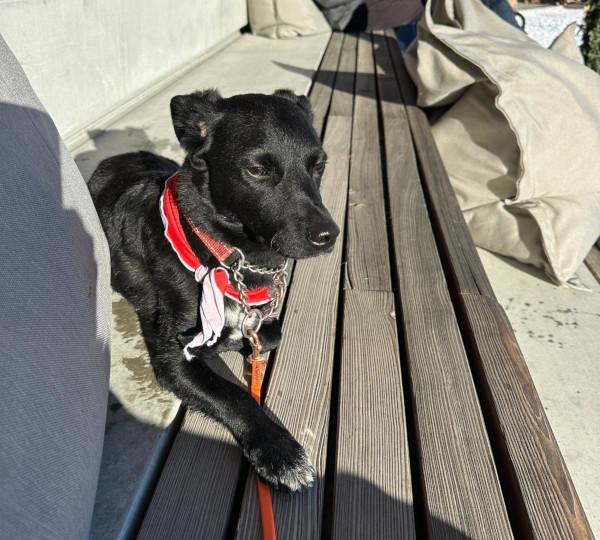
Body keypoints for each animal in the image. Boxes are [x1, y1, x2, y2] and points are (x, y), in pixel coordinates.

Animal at [88, 89, 339, 491]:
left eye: (319, 164)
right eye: (257, 170)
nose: (328, 236)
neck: (228, 255)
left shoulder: (262, 322)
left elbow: (267, 333)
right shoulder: (174, 358)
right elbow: (234, 395)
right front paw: (280, 451)